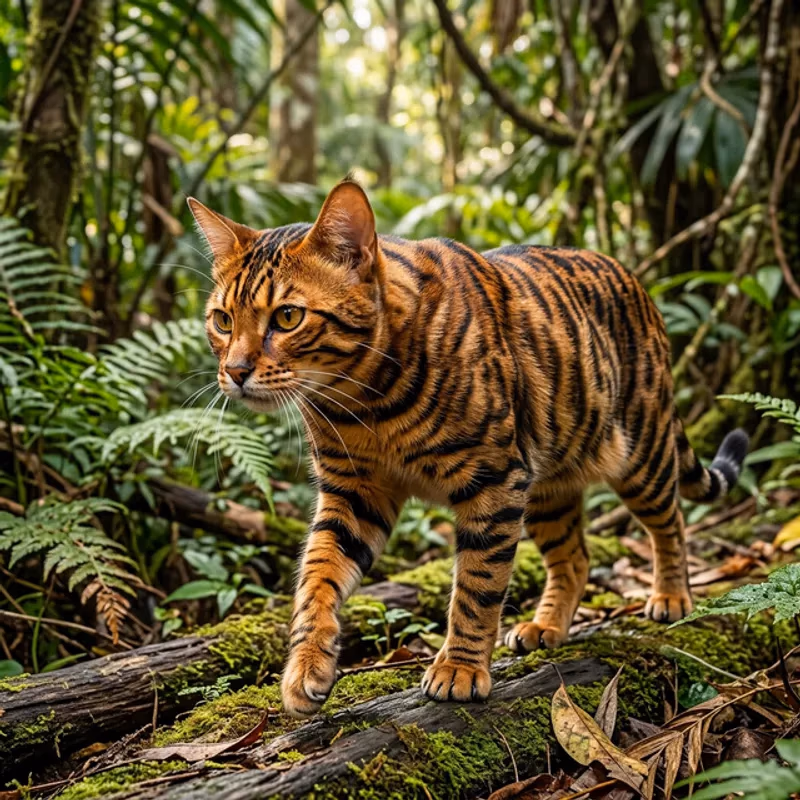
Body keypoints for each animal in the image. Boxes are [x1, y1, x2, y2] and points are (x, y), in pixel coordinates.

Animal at [188, 179, 748, 718]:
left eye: (287, 317)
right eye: (222, 320)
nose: (234, 371)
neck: (364, 399)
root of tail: (637, 284)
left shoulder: (493, 479)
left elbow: (478, 584)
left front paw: (459, 667)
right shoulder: (353, 492)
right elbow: (317, 575)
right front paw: (307, 665)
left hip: (641, 452)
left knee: (670, 523)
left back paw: (671, 596)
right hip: (548, 483)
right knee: (575, 557)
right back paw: (546, 625)